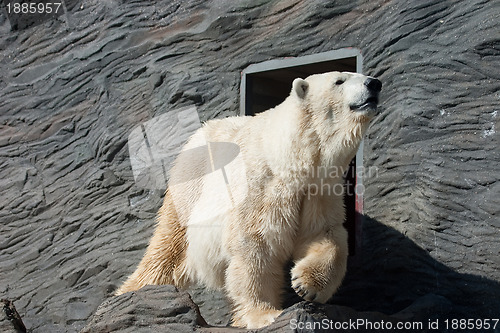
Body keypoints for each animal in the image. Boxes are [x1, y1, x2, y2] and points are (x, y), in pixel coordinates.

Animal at [116, 71, 382, 328]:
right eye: (339, 80)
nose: (374, 83)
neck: (287, 158)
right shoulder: (260, 188)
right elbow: (255, 245)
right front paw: (265, 314)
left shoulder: (319, 191)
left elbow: (324, 234)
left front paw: (306, 285)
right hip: (190, 190)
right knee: (168, 247)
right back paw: (131, 293)